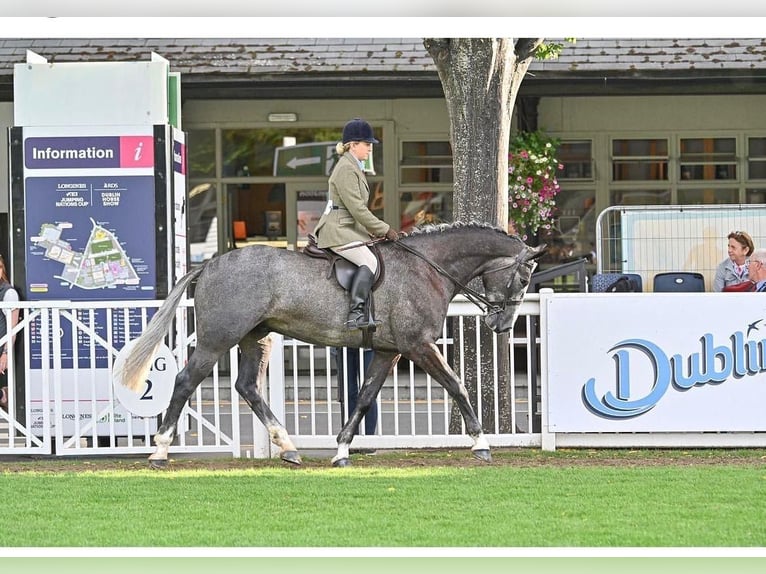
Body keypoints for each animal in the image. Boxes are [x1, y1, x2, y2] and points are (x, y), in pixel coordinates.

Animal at [115, 223, 544, 470]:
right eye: (524, 279)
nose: (502, 325)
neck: (427, 267)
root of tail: (209, 264)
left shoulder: (388, 351)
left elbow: (365, 397)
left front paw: (341, 450)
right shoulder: (418, 345)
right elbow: (457, 385)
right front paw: (481, 445)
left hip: (256, 339)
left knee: (248, 387)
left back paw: (288, 448)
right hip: (217, 339)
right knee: (186, 381)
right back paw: (160, 452)